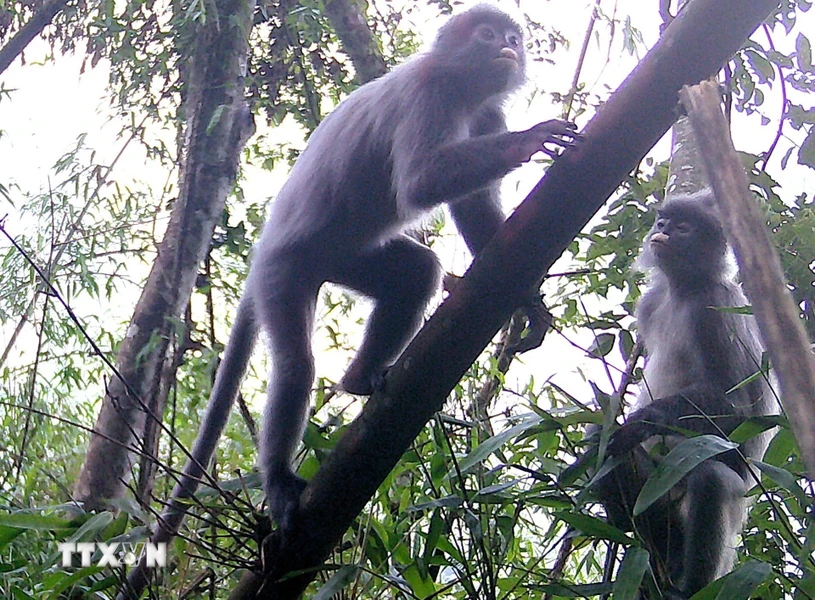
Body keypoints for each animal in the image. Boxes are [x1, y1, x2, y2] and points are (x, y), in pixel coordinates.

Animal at [171, 3, 580, 528]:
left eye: (512, 38)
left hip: (343, 258)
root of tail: (264, 249)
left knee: (417, 273)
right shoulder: (427, 94)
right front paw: (526, 140)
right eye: (487, 34)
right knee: (297, 366)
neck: (463, 89)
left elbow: (472, 209)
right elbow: (421, 181)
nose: (507, 46)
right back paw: (279, 479)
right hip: (282, 271)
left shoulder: (488, 111)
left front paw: (528, 302)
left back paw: (359, 377)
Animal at [596, 195, 780, 596]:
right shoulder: (650, 304)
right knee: (603, 447)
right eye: (663, 221)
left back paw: (688, 587)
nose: (662, 230)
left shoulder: (715, 307)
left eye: (683, 227)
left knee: (712, 478)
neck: (682, 289)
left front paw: (645, 420)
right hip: (654, 496)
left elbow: (741, 412)